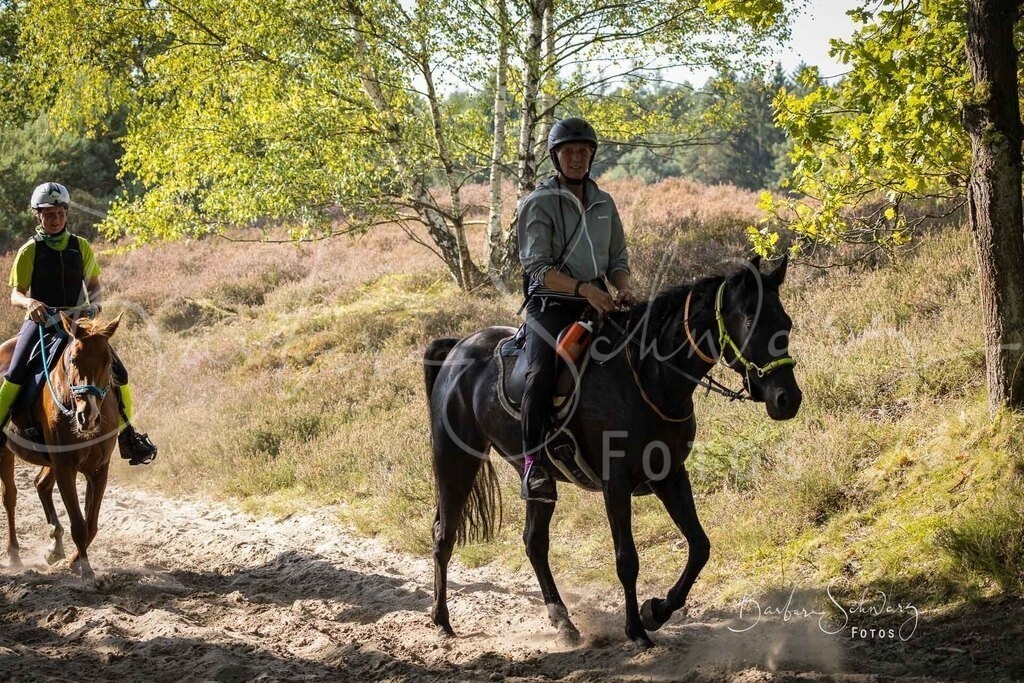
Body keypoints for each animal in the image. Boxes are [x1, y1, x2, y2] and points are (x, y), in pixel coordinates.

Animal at [1, 312, 122, 579]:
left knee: (41, 484)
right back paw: (14, 554)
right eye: (74, 359)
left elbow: (91, 525)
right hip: (4, 449)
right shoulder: (66, 467)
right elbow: (79, 524)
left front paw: (73, 560)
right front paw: (84, 569)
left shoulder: (99, 469)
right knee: (10, 496)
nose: (88, 417)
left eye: (109, 361)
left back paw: (54, 547)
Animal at [424, 256, 802, 646]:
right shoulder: (615, 483)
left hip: (538, 481)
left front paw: (656, 611)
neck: (648, 377)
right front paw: (635, 629)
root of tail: (457, 348)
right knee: (444, 534)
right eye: (749, 322)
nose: (787, 400)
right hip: (456, 460)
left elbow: (700, 546)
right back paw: (442, 619)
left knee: (534, 542)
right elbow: (627, 559)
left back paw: (563, 621)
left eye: (785, 323)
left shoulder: (670, 475)